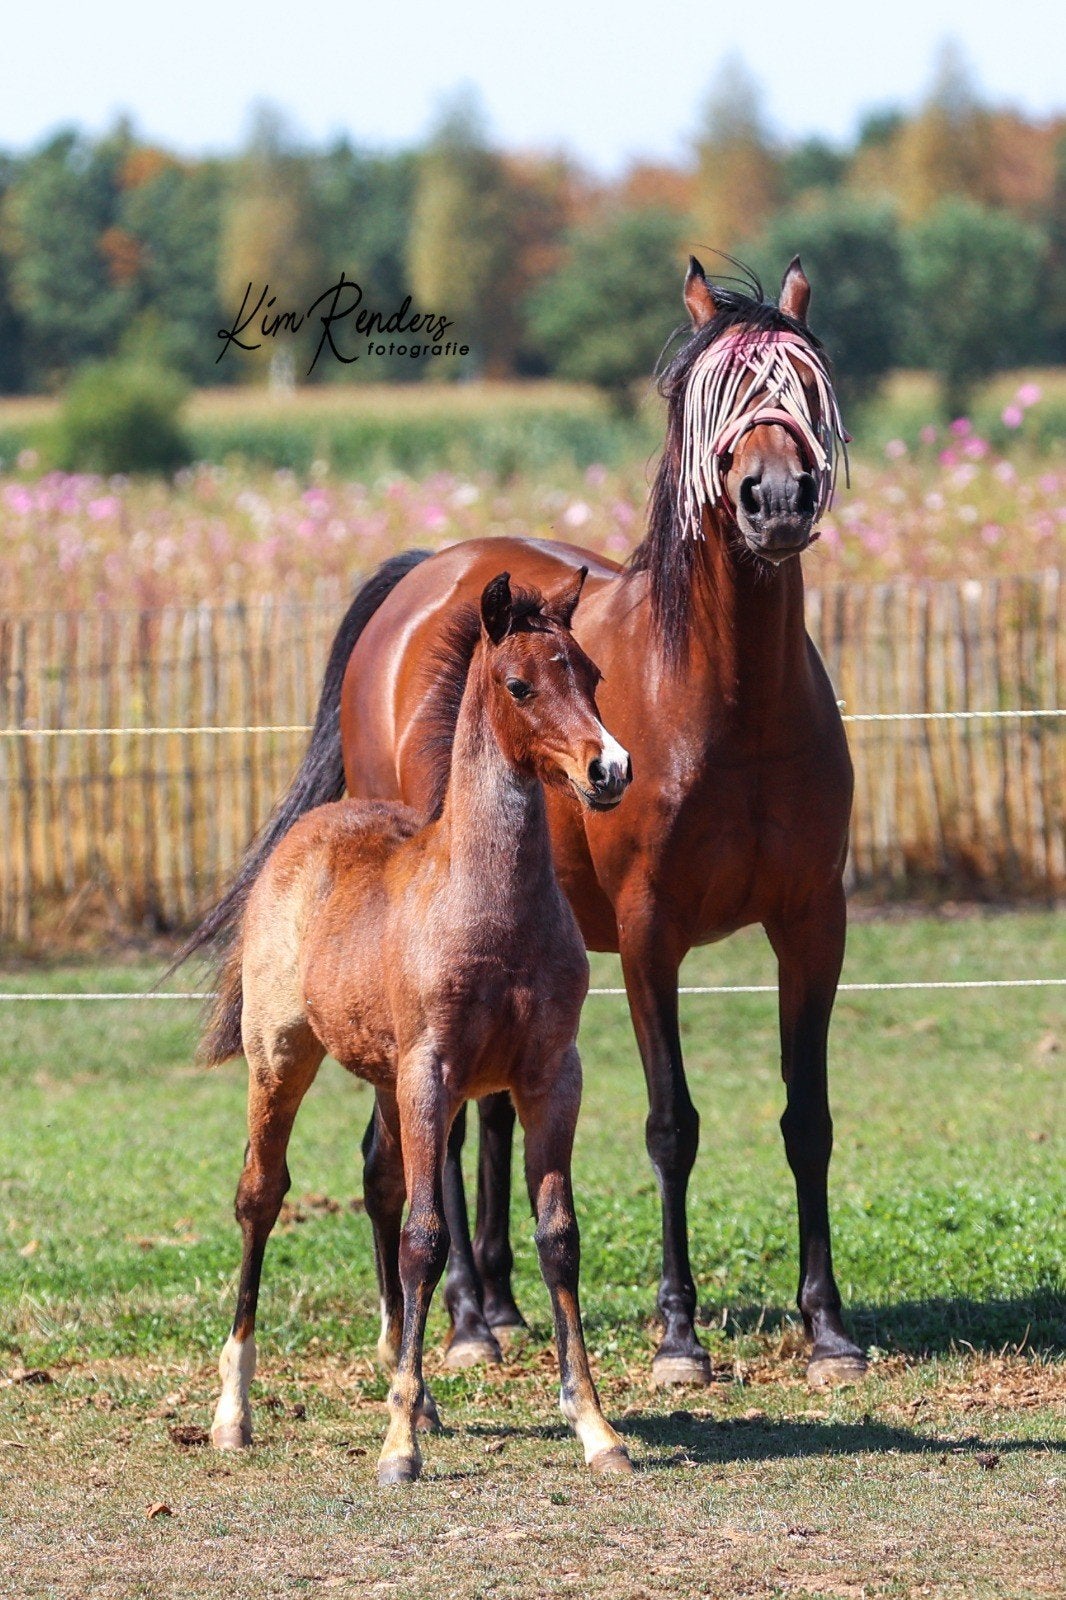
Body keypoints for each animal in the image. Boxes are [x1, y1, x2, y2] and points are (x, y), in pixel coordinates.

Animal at [179, 254, 866, 1392]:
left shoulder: (814, 923)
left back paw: (499, 1302)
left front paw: (829, 1330)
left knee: (488, 1113)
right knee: (447, 1132)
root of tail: (423, 572)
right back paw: (464, 1319)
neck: (732, 701)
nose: (774, 497)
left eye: (807, 383)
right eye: (711, 394)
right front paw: (678, 1339)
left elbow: (807, 1118)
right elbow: (670, 1124)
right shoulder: (648, 933)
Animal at [198, 570, 634, 1484]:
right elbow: (427, 1238)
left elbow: (558, 1237)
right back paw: (233, 1412)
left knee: (379, 1183)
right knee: (262, 1196)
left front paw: (596, 1428)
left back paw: (418, 1388)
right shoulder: (431, 1071)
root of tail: (312, 829)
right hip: (282, 1059)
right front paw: (397, 1447)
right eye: (519, 685)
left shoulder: (552, 1074)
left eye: (590, 674)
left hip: (384, 1077)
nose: (609, 768)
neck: (490, 909)